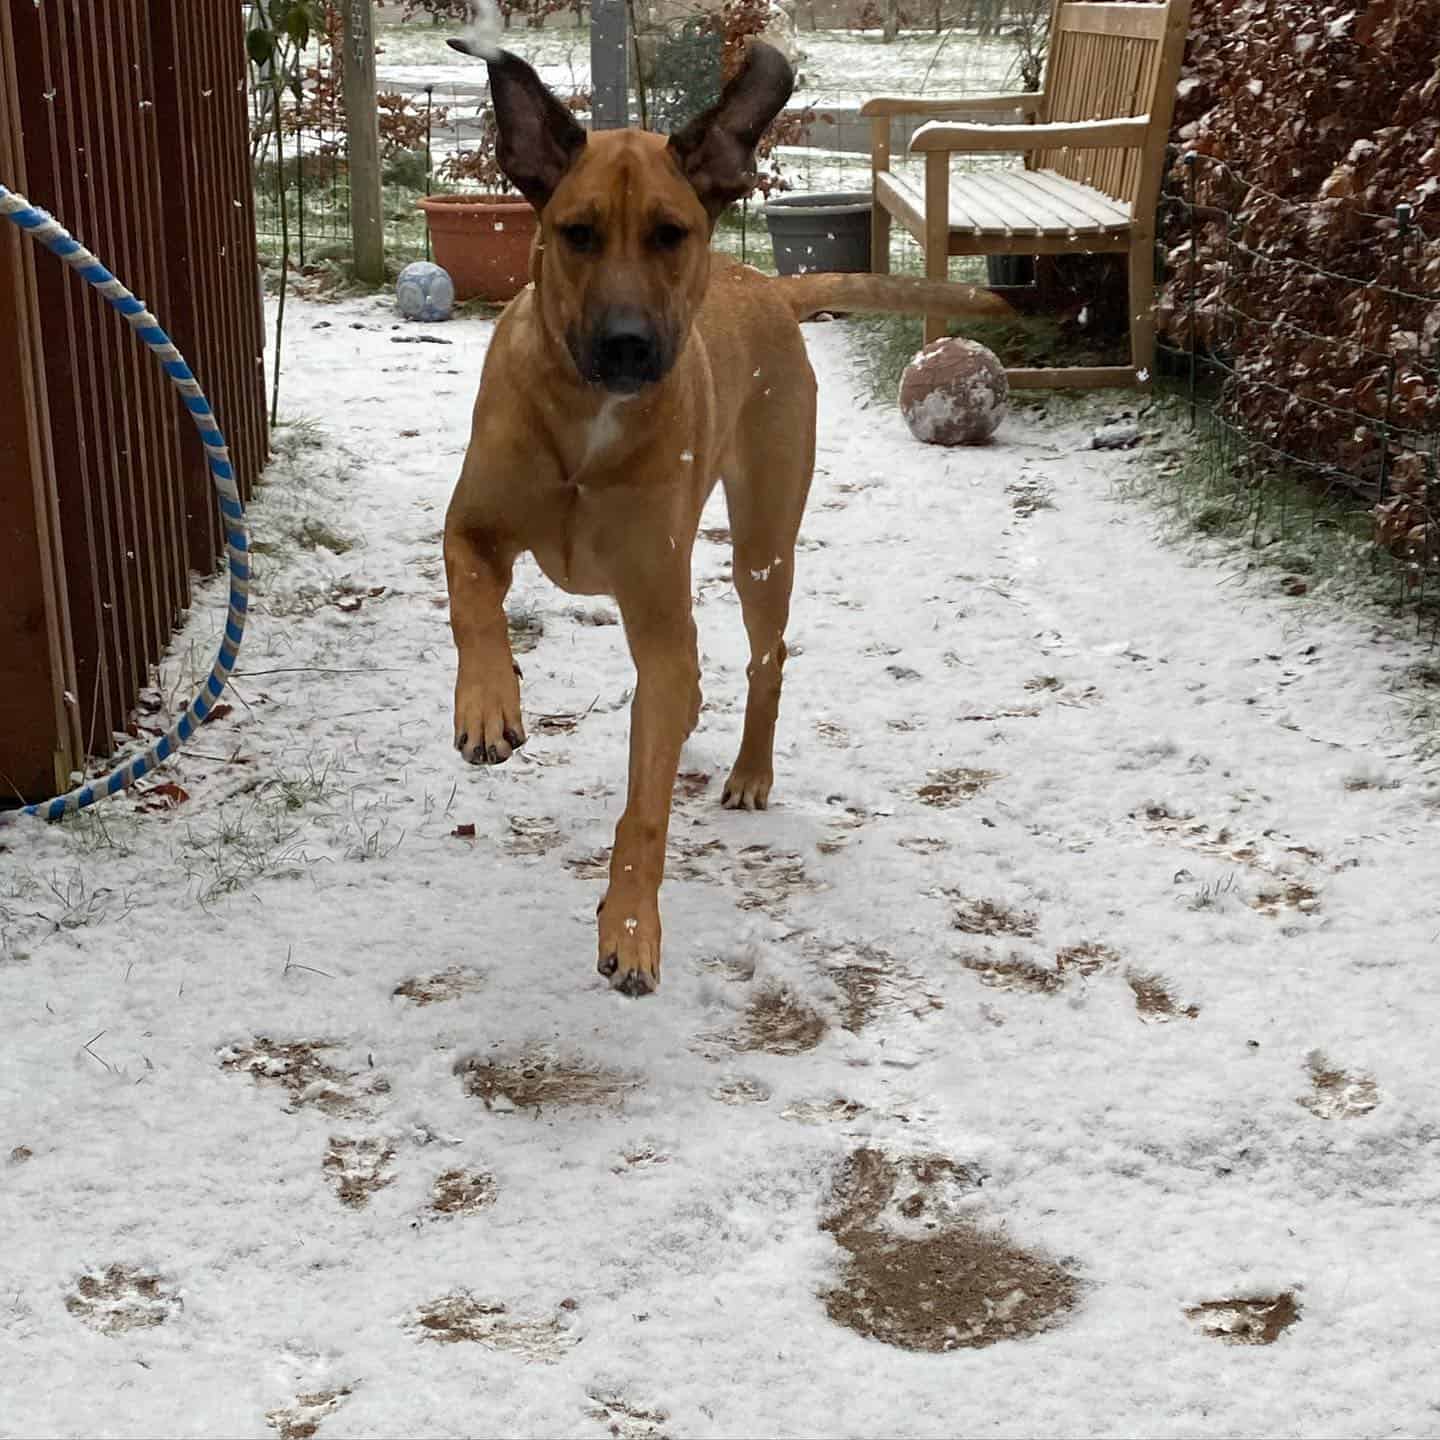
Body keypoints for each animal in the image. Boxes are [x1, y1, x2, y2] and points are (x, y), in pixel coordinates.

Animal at [443, 42, 1008, 990]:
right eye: (577, 232)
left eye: (671, 233)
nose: (627, 345)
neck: (588, 419)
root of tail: (769, 288)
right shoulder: (471, 526)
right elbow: (473, 606)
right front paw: (489, 706)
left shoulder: (657, 611)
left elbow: (645, 804)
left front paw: (632, 925)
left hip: (762, 542)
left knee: (763, 659)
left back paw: (750, 769)